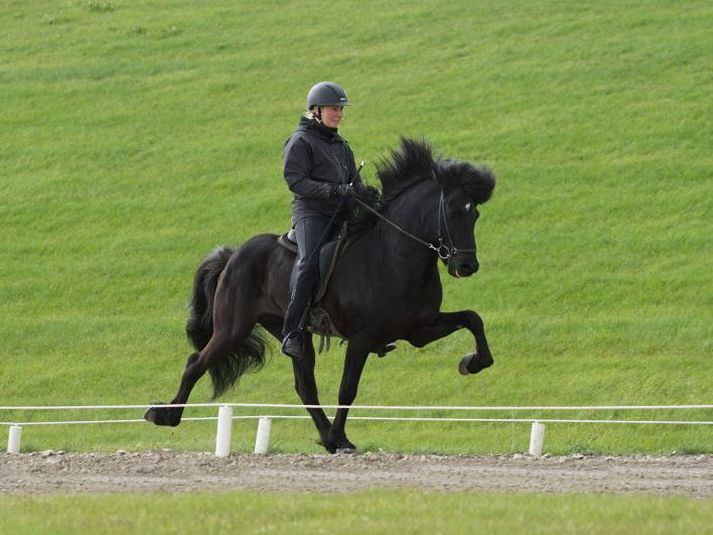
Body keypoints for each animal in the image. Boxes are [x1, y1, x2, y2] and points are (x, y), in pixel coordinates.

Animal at [145, 138, 496, 452]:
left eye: (475, 214)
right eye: (452, 212)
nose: (467, 265)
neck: (392, 254)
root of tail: (233, 255)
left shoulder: (419, 329)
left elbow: (473, 319)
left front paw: (472, 362)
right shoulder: (362, 339)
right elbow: (347, 390)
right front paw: (344, 440)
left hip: (291, 332)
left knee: (305, 387)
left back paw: (327, 437)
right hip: (233, 328)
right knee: (196, 362)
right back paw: (164, 415)